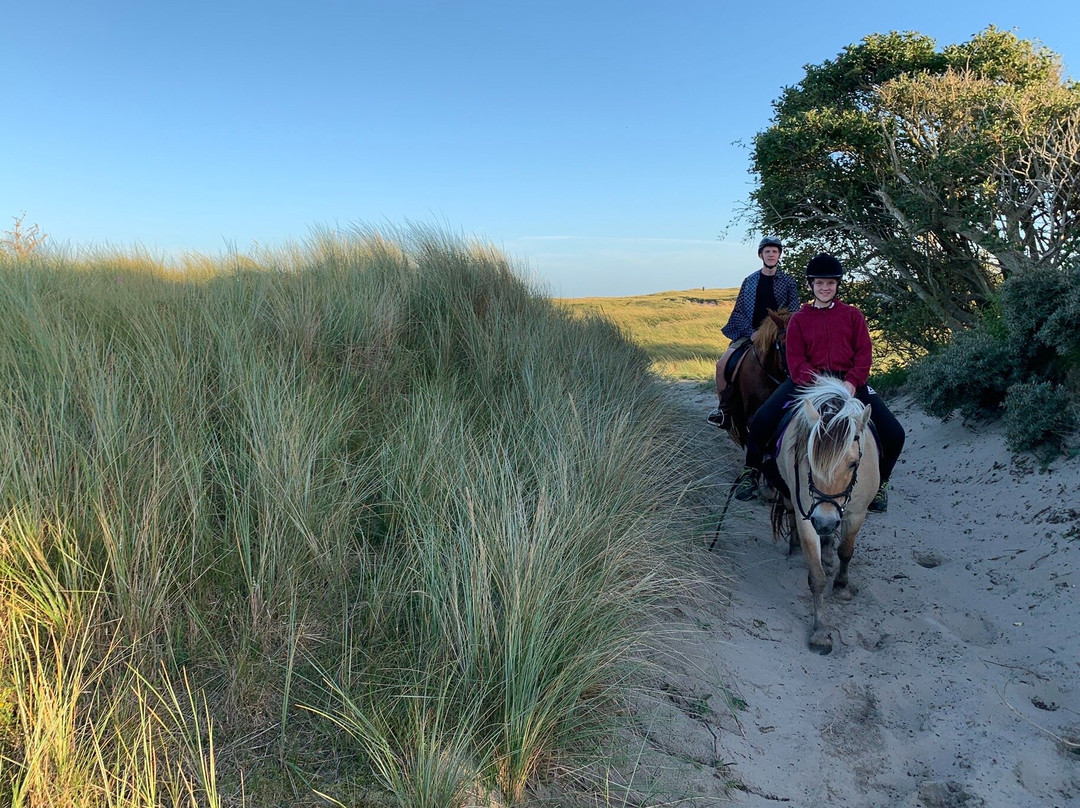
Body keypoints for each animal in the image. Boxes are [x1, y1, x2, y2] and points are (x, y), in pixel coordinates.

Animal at [768, 375, 876, 652]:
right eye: (808, 459)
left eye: (853, 463)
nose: (824, 521)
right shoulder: (808, 517)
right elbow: (816, 577)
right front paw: (820, 631)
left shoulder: (856, 514)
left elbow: (846, 551)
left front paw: (841, 585)